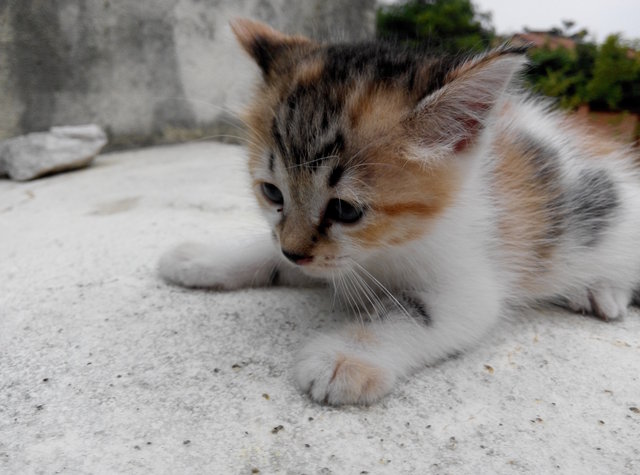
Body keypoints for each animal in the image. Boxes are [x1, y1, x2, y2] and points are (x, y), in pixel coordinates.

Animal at [158, 18, 640, 406]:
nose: (295, 252)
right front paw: (201, 257)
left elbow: (414, 313)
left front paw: (346, 358)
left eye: (344, 209)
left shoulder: (468, 284)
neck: (386, 248)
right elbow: (268, 250)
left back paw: (601, 291)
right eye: (272, 193)